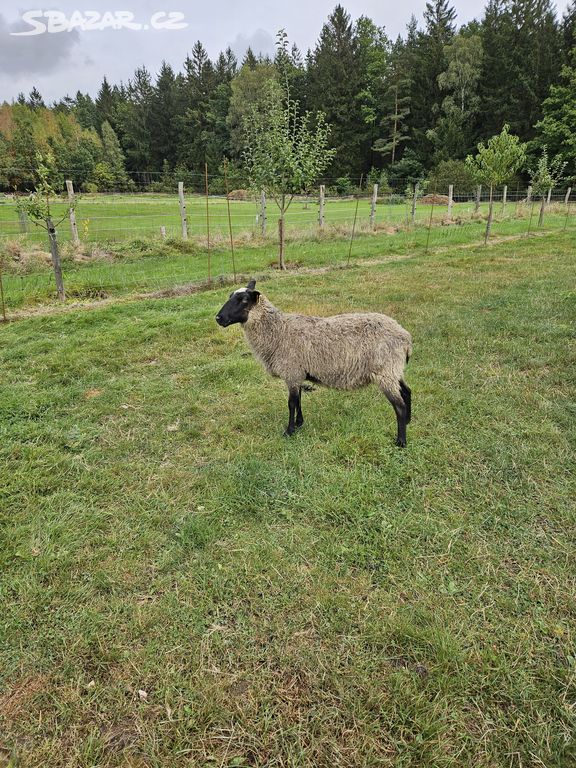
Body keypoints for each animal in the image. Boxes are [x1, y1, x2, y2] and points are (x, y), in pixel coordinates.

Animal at [214, 278, 412, 444]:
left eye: (243, 300)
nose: (218, 318)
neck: (278, 331)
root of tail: (405, 337)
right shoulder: (298, 373)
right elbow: (299, 400)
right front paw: (299, 424)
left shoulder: (292, 372)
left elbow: (291, 403)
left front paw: (289, 431)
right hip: (392, 369)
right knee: (406, 391)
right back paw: (409, 421)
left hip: (384, 370)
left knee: (399, 405)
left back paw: (401, 441)